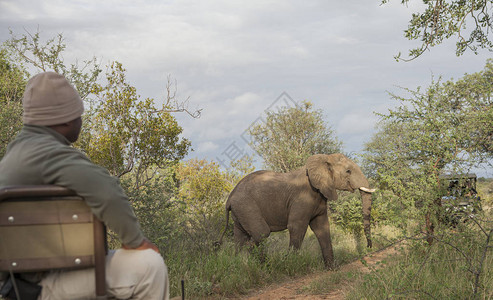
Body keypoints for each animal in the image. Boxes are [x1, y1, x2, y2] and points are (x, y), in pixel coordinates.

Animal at [217, 154, 374, 268]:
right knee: (261, 233)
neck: (323, 159)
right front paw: (290, 265)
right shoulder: (301, 198)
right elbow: (296, 226)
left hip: (239, 211)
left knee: (240, 237)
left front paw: (332, 268)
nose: (369, 247)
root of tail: (230, 197)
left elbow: (322, 227)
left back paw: (240, 264)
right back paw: (261, 266)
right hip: (246, 206)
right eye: (348, 171)